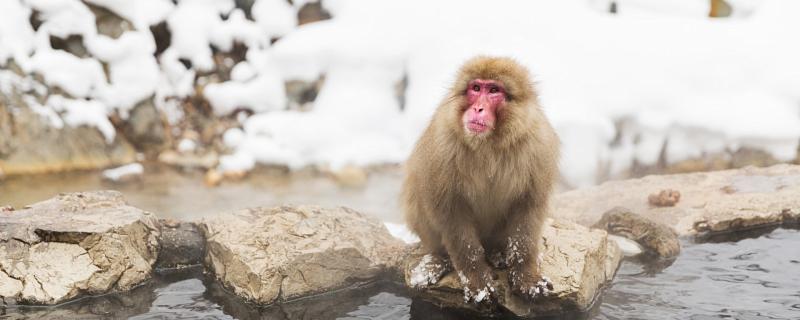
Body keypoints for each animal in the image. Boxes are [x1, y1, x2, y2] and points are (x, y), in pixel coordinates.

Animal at [404, 56, 560, 304]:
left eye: (494, 90)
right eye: (476, 88)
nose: (478, 108)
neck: (489, 143)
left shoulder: (537, 146)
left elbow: (529, 208)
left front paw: (525, 274)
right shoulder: (442, 144)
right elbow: (450, 212)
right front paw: (477, 281)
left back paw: (498, 252)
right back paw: (440, 259)